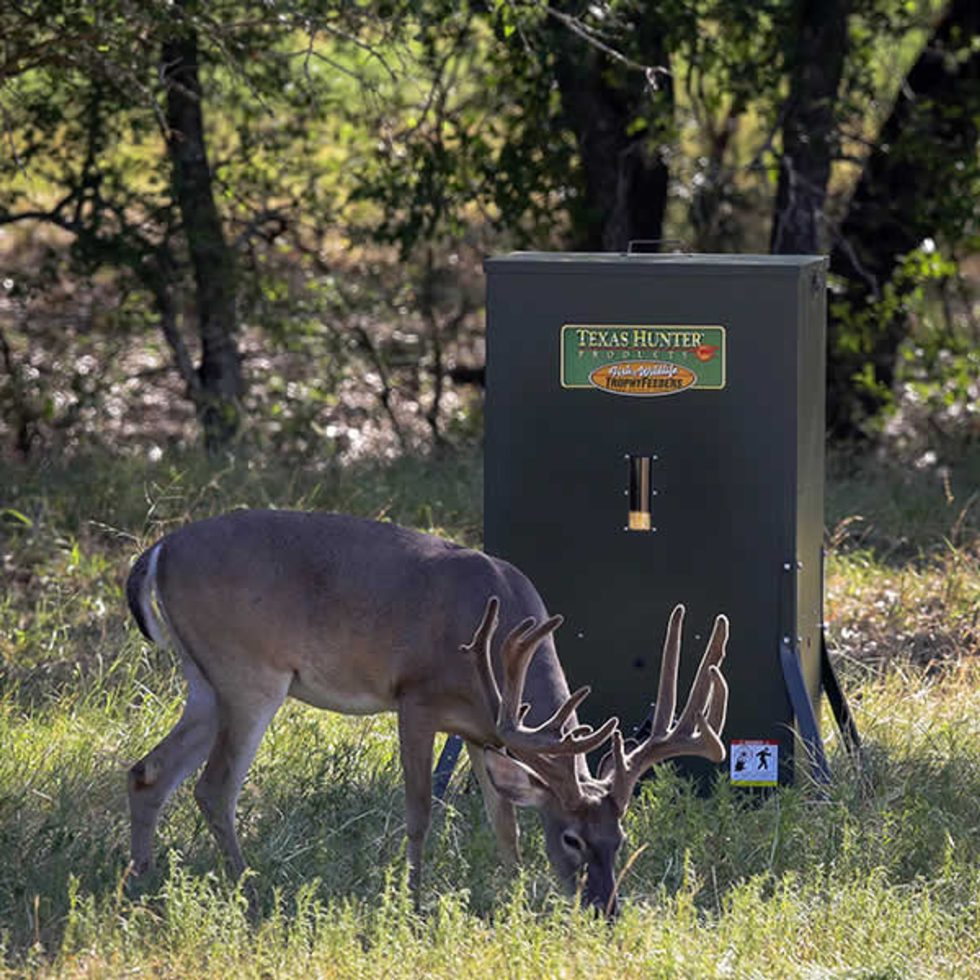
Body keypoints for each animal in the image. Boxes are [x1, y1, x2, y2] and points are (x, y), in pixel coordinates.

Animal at [124, 509, 729, 914]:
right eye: (571, 839)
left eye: (619, 839)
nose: (605, 909)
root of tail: (160, 550)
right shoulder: (415, 699)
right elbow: (420, 810)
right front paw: (412, 900)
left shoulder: (487, 732)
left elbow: (505, 822)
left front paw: (514, 898)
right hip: (249, 673)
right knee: (214, 786)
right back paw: (247, 888)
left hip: (204, 679)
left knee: (148, 771)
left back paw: (142, 882)